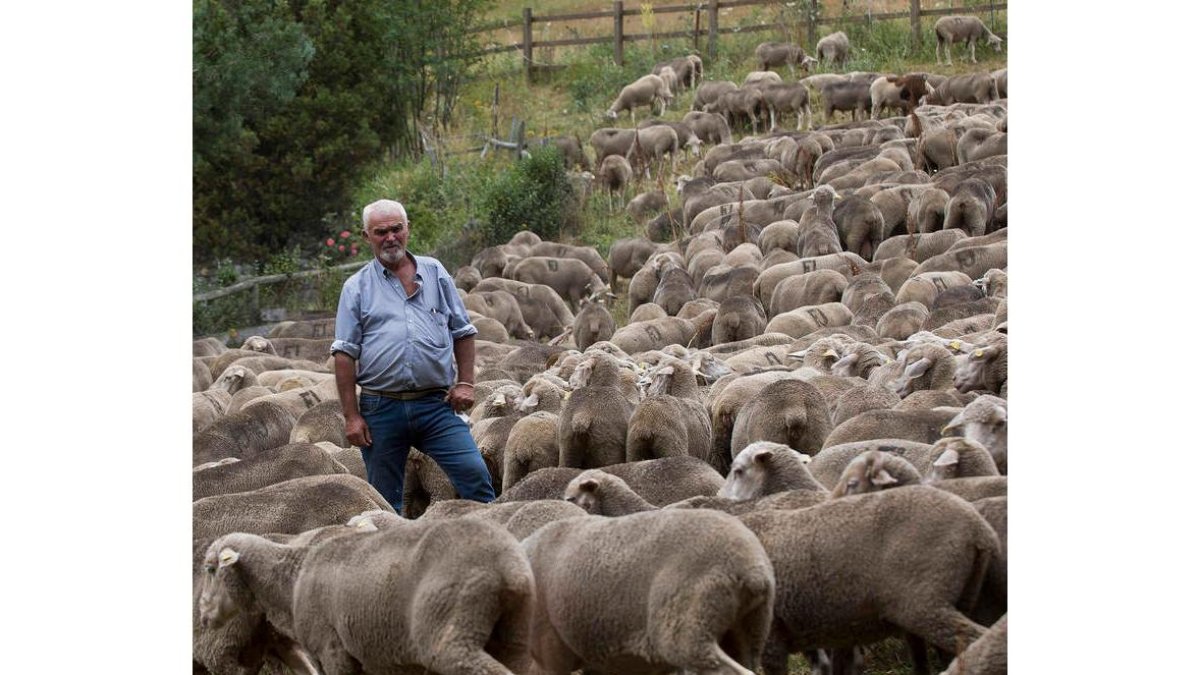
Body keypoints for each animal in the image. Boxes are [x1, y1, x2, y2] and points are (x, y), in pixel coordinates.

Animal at [201, 514, 535, 672]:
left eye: (210, 569)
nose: (202, 616)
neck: (291, 580)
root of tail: (508, 565)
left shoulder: (333, 651)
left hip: (449, 638)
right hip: (514, 641)